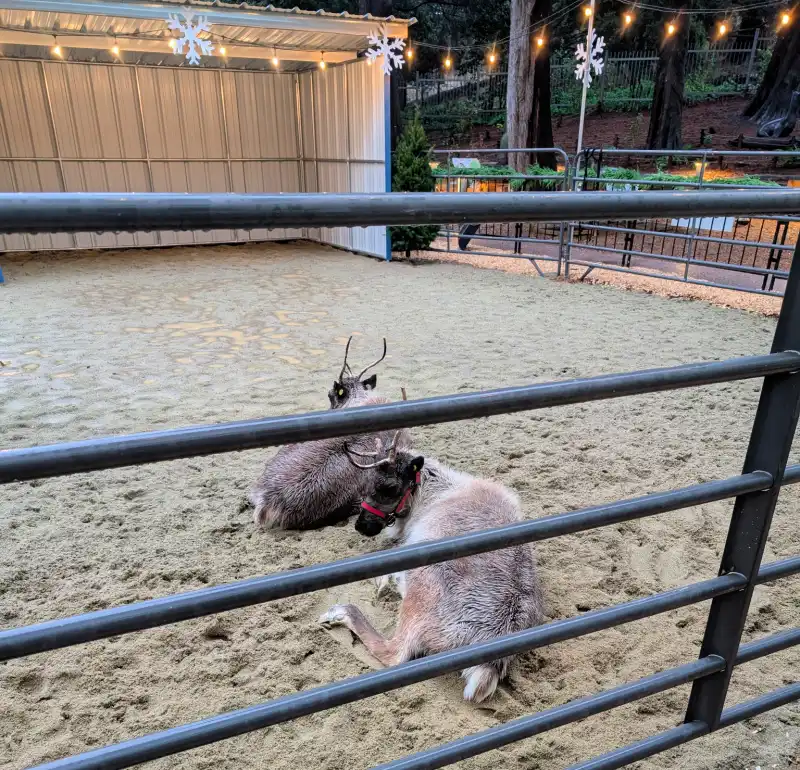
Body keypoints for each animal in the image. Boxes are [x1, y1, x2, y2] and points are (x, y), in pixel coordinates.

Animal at [319, 433, 544, 703]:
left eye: (390, 488)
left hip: (420, 594)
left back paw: (340, 611)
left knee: (394, 652)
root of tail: (490, 656)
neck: (433, 493)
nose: (362, 526)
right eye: (364, 484)